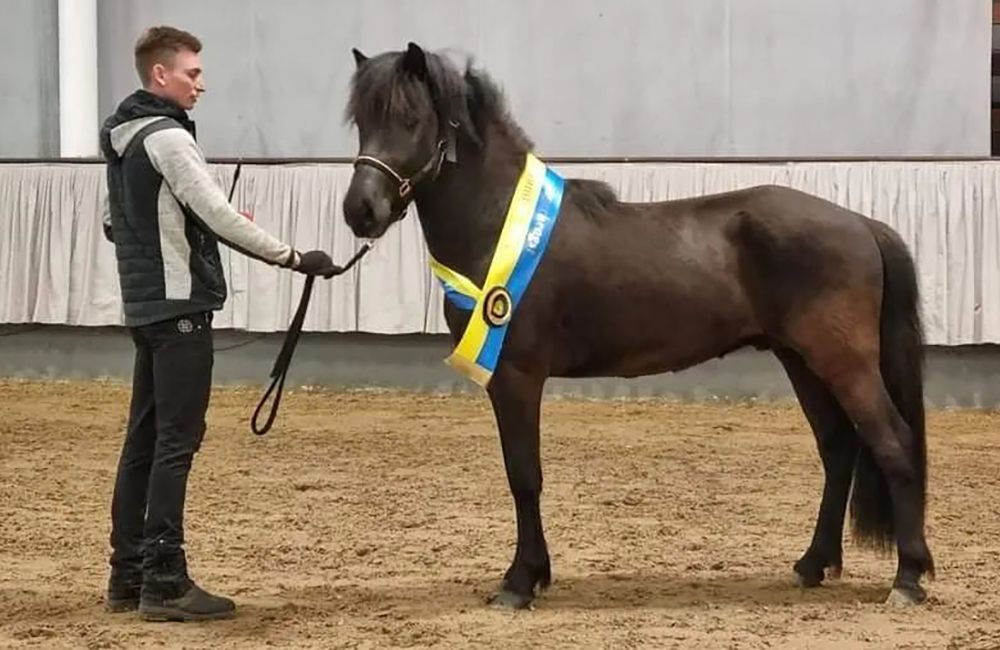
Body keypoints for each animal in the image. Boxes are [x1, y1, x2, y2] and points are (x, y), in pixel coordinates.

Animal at [340, 41, 932, 608]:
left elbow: (524, 476)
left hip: (843, 362)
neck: (499, 222)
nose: (360, 211)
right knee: (838, 448)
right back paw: (813, 565)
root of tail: (862, 223)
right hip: (801, 360)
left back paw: (906, 580)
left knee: (893, 443)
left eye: (411, 119)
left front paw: (520, 581)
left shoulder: (516, 377)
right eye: (362, 121)